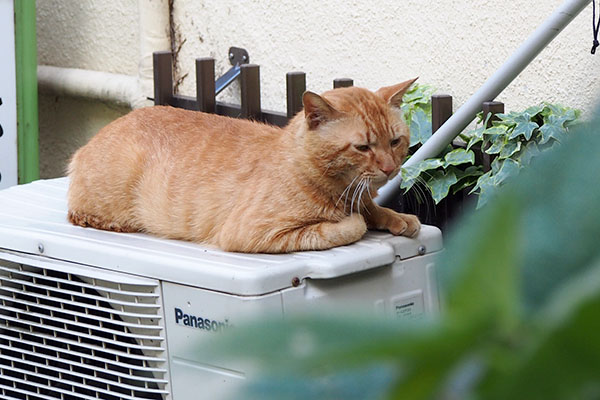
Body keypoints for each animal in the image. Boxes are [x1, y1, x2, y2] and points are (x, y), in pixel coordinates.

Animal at [65, 78, 420, 253]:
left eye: (395, 141)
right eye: (363, 147)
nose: (389, 168)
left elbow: (374, 210)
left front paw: (398, 218)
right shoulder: (253, 233)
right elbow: (349, 226)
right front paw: (356, 220)